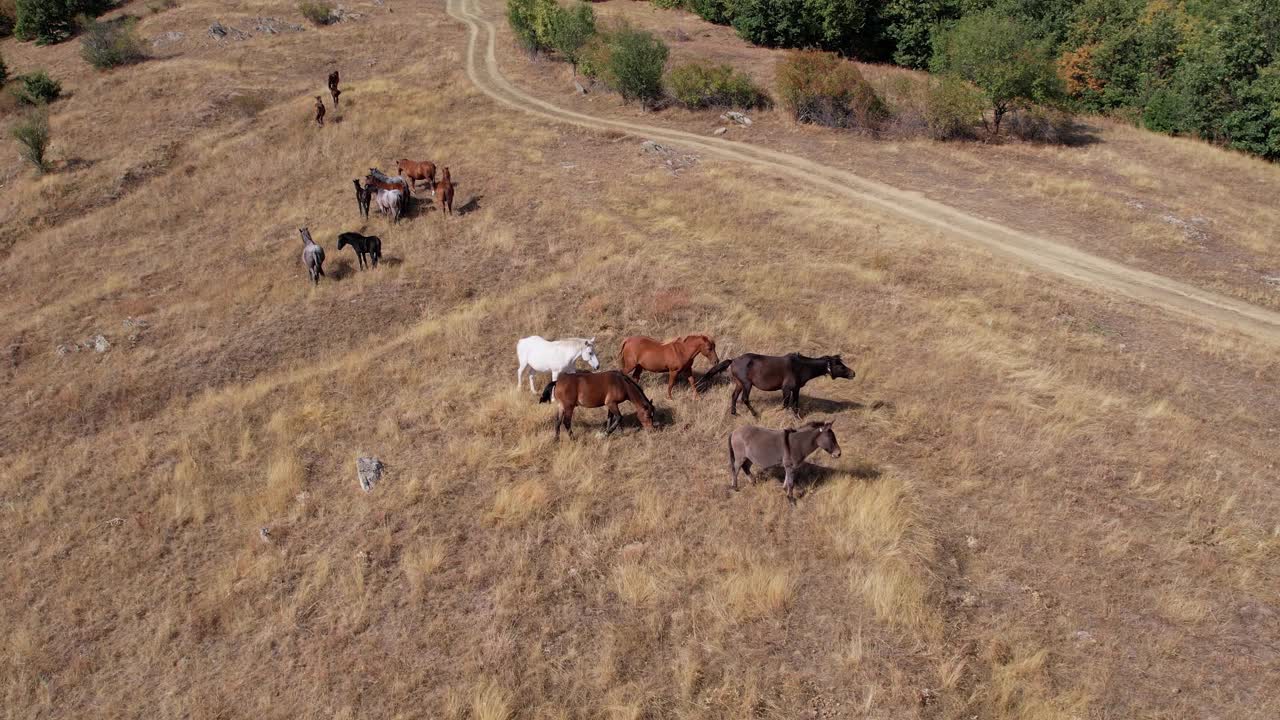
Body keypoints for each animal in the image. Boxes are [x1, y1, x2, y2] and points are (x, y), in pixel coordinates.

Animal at [701, 351, 849, 415]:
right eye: (840, 366)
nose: (852, 373)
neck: (800, 366)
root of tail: (733, 360)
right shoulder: (786, 389)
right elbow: (785, 404)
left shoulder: (796, 389)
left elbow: (795, 405)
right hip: (747, 384)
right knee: (744, 399)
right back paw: (755, 414)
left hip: (739, 384)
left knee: (734, 397)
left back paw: (734, 413)